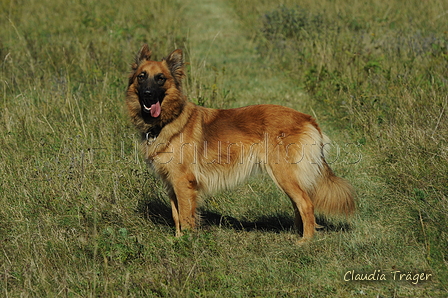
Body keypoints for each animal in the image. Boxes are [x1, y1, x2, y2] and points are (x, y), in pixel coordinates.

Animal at [125, 44, 354, 242]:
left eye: (160, 79)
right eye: (141, 77)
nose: (147, 95)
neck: (169, 120)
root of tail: (307, 118)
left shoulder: (183, 182)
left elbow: (186, 217)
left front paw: (187, 243)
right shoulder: (172, 183)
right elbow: (176, 215)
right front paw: (178, 239)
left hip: (284, 173)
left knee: (306, 204)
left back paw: (305, 241)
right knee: (299, 205)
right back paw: (298, 234)